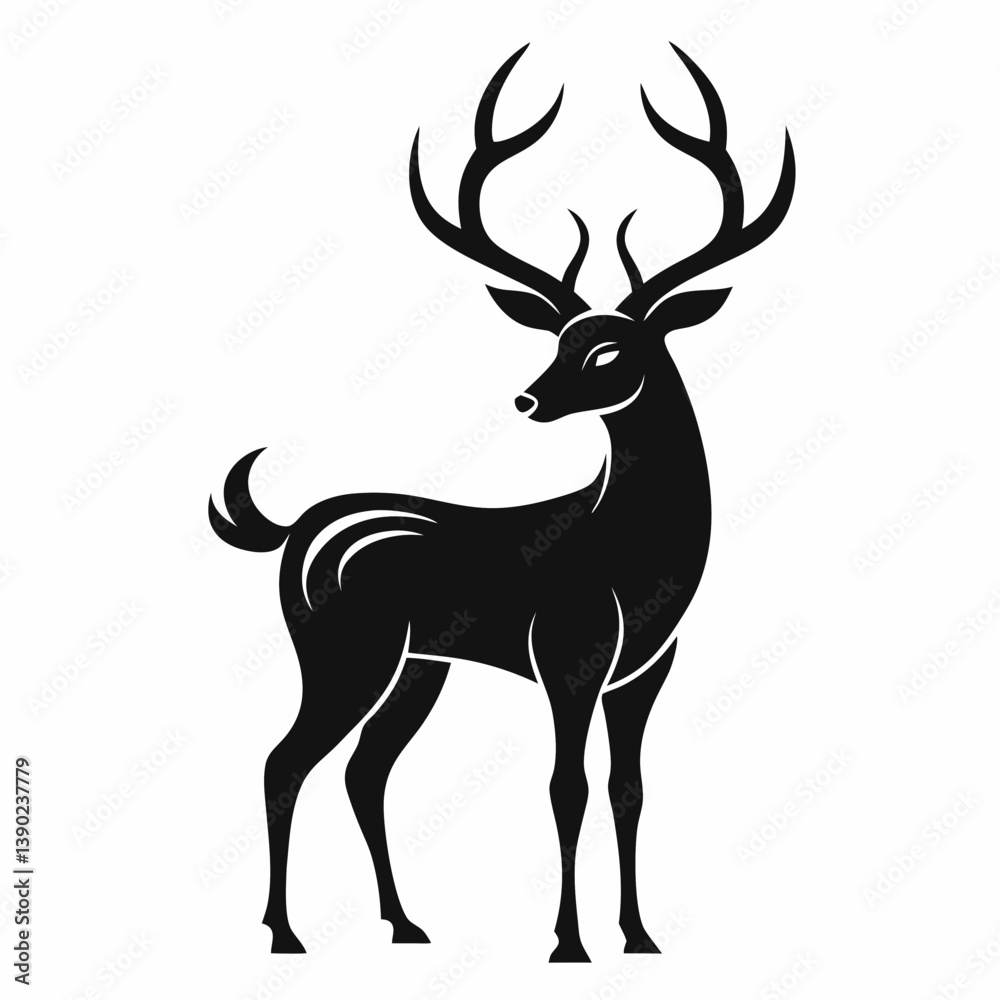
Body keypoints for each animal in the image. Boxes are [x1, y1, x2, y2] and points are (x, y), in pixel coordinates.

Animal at [209, 42, 795, 963]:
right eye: (559, 341)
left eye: (610, 351)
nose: (527, 399)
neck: (634, 556)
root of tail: (294, 527)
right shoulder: (568, 654)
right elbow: (566, 787)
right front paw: (568, 943)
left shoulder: (648, 668)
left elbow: (628, 788)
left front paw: (639, 936)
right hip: (344, 651)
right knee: (284, 759)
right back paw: (286, 935)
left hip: (420, 666)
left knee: (363, 769)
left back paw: (406, 924)